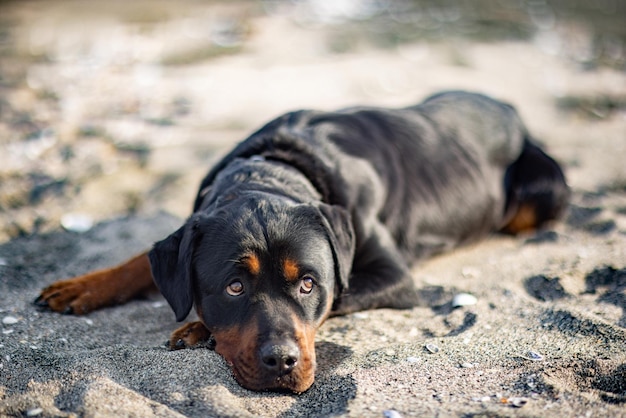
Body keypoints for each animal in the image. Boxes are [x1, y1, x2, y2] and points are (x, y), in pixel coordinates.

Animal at [36, 90, 568, 392]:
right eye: (233, 287)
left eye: (309, 284)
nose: (282, 362)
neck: (274, 167)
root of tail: (509, 110)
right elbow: (141, 261)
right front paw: (81, 285)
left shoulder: (391, 274)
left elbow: (342, 295)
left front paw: (197, 330)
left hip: (543, 193)